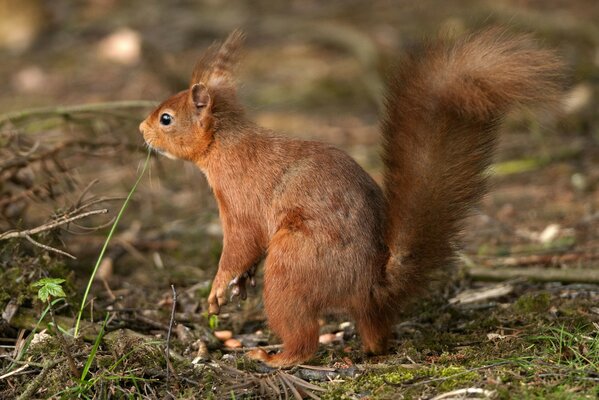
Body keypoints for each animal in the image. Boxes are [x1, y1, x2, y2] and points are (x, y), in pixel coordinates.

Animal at [139, 28, 564, 366]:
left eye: (166, 118)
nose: (141, 128)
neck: (225, 145)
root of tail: (371, 288)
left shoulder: (241, 204)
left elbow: (240, 247)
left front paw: (216, 289)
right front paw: (238, 287)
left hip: (293, 265)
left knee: (303, 337)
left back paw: (276, 357)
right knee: (374, 335)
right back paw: (370, 347)